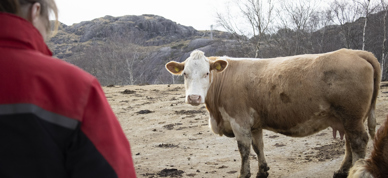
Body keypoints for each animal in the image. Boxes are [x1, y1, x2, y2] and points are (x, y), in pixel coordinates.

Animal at [165, 48, 380, 178]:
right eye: (184, 74)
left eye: (207, 73)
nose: (193, 98)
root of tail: (356, 52)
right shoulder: (254, 123)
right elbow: (258, 146)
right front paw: (262, 171)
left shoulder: (239, 121)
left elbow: (244, 150)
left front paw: (244, 174)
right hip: (348, 118)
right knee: (349, 143)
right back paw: (342, 170)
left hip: (351, 116)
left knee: (358, 142)